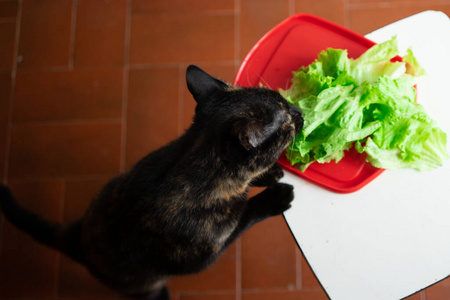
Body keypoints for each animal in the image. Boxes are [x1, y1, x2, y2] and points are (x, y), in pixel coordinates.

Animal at [0, 66, 304, 300]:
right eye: (288, 124)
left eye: (284, 99)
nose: (299, 111)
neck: (190, 164)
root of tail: (77, 236)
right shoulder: (204, 254)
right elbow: (245, 215)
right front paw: (276, 196)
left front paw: (270, 174)